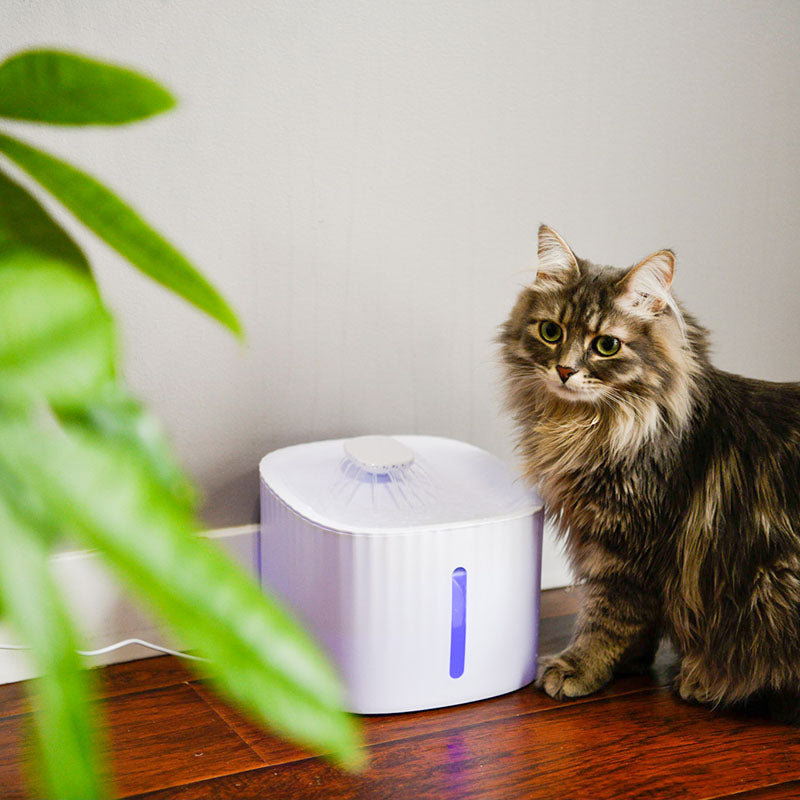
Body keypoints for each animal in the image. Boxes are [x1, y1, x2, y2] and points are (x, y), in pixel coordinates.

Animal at [496, 225, 800, 720]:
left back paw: (704, 681)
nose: (564, 370)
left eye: (606, 345)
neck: (587, 428)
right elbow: (637, 625)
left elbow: (607, 619)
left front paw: (577, 668)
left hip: (773, 582)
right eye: (550, 332)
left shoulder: (628, 550)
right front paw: (629, 665)